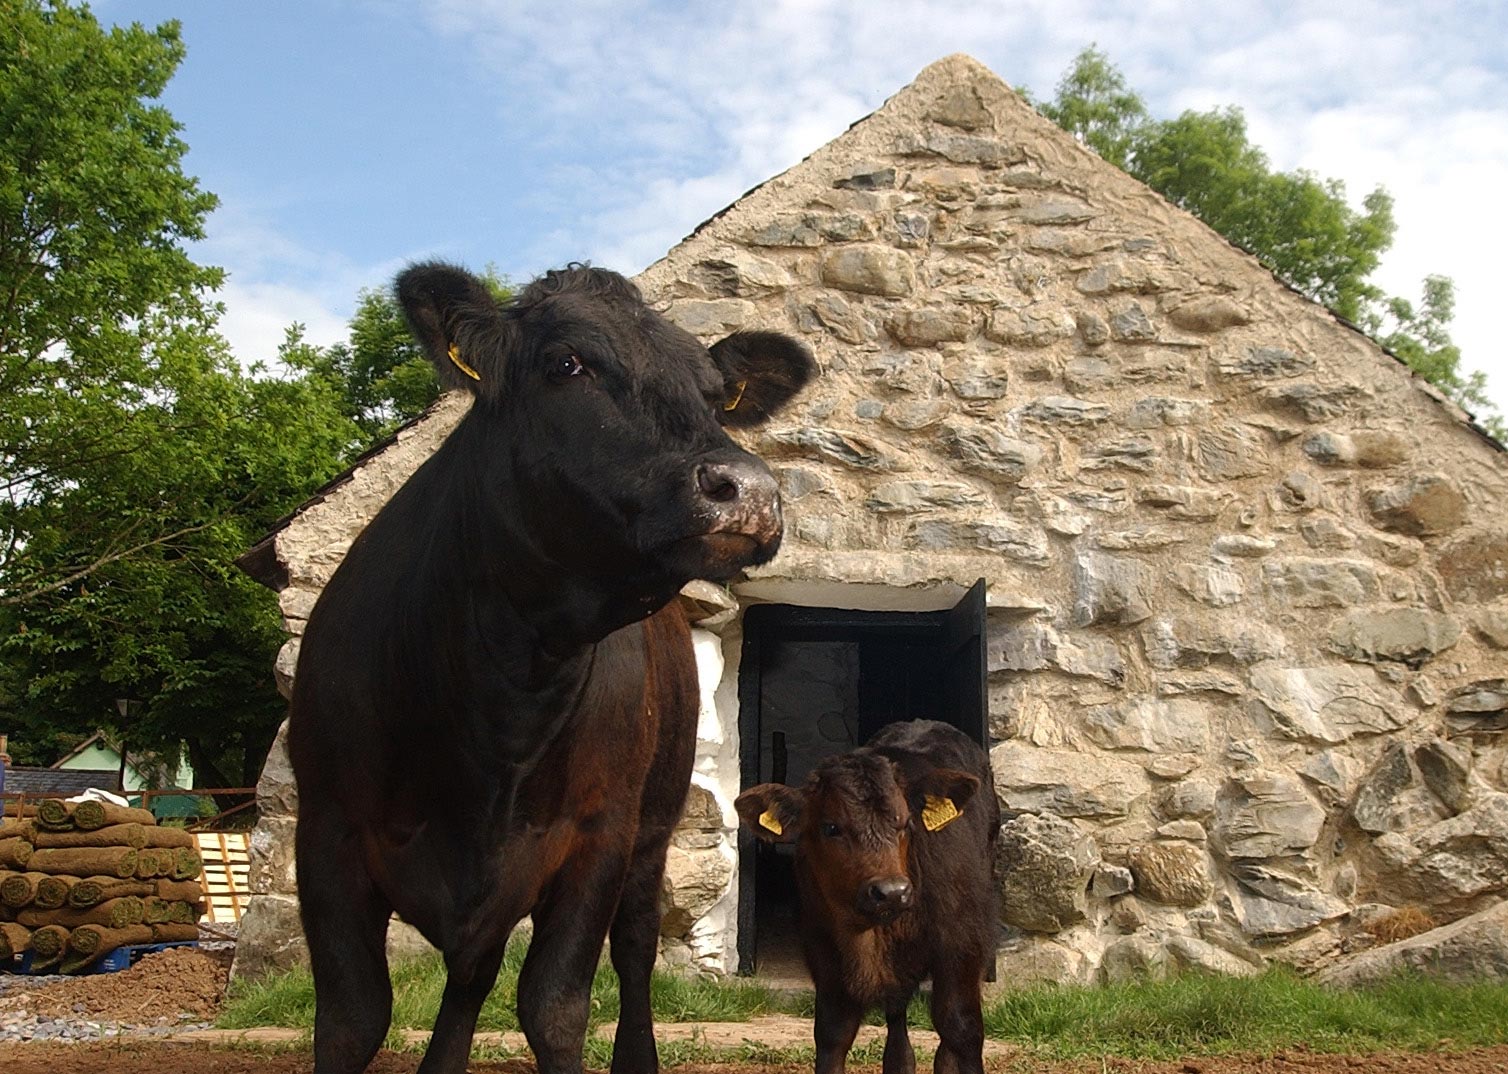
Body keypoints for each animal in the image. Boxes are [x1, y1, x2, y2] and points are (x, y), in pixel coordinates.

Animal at [291, 262, 814, 1074]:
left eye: (712, 395)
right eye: (567, 364)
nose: (750, 489)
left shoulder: (596, 835)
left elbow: (556, 1006)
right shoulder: (326, 830)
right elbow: (352, 1019)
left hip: (654, 824)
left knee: (632, 951)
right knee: (470, 974)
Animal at [732, 718, 995, 1074]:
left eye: (906, 823)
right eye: (830, 827)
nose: (892, 892)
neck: (872, 937)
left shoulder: (962, 945)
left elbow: (961, 1028)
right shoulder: (824, 953)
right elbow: (833, 1033)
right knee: (897, 1021)